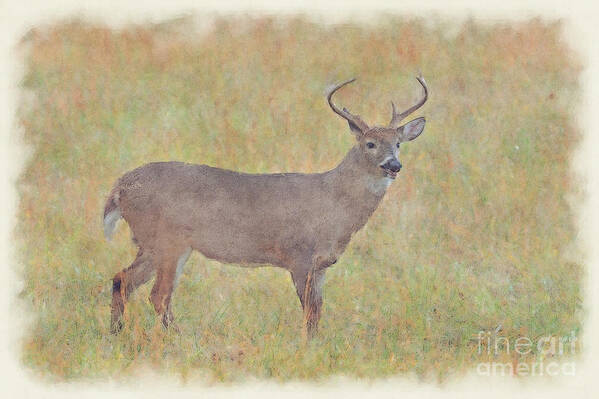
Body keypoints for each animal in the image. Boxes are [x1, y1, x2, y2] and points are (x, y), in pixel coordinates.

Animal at [105, 75, 428, 338]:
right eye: (370, 144)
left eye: (398, 143)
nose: (394, 166)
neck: (333, 204)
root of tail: (120, 187)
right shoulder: (299, 255)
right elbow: (310, 311)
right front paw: (309, 346)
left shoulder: (322, 264)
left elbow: (318, 309)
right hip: (167, 240)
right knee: (158, 295)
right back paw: (179, 337)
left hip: (154, 244)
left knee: (122, 280)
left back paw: (117, 333)